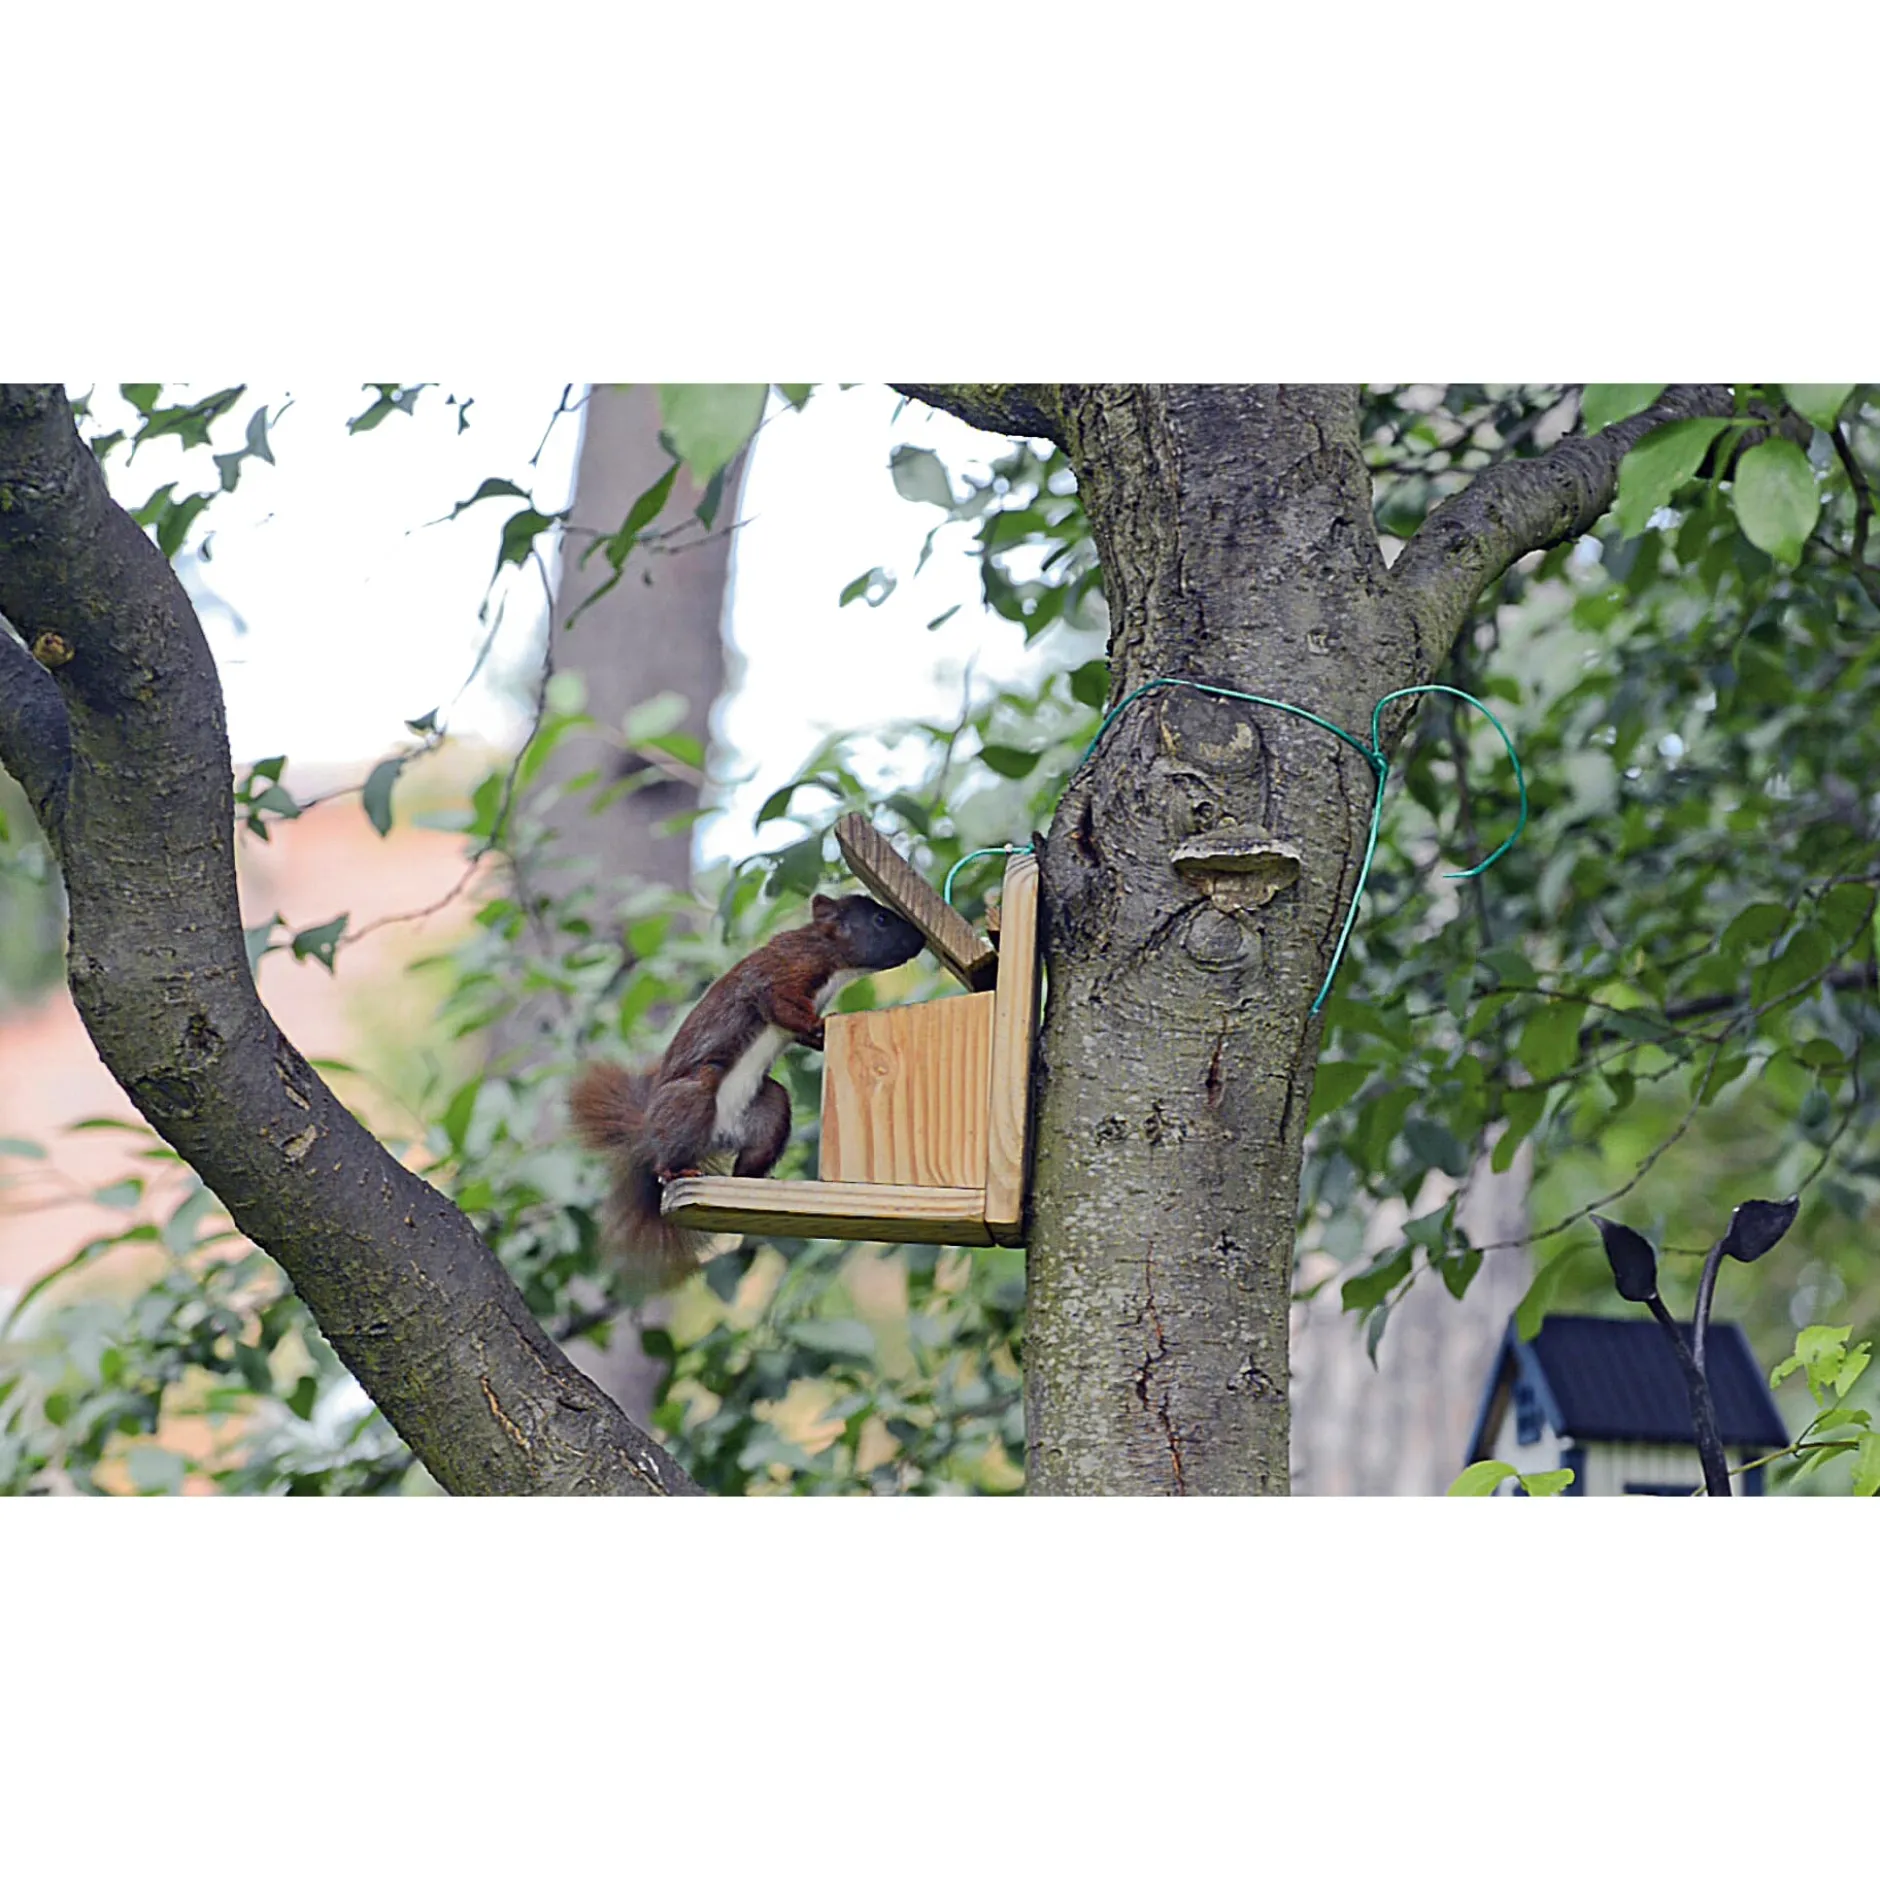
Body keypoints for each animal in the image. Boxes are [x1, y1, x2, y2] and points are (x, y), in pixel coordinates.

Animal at [570, 892, 924, 1289]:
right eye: (881, 919)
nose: (920, 939)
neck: (830, 954)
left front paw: (820, 1034)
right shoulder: (783, 973)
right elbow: (781, 1004)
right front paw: (823, 1023)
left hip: (769, 1110)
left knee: (750, 1157)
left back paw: (759, 1180)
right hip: (694, 1096)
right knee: (667, 1156)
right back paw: (675, 1171)